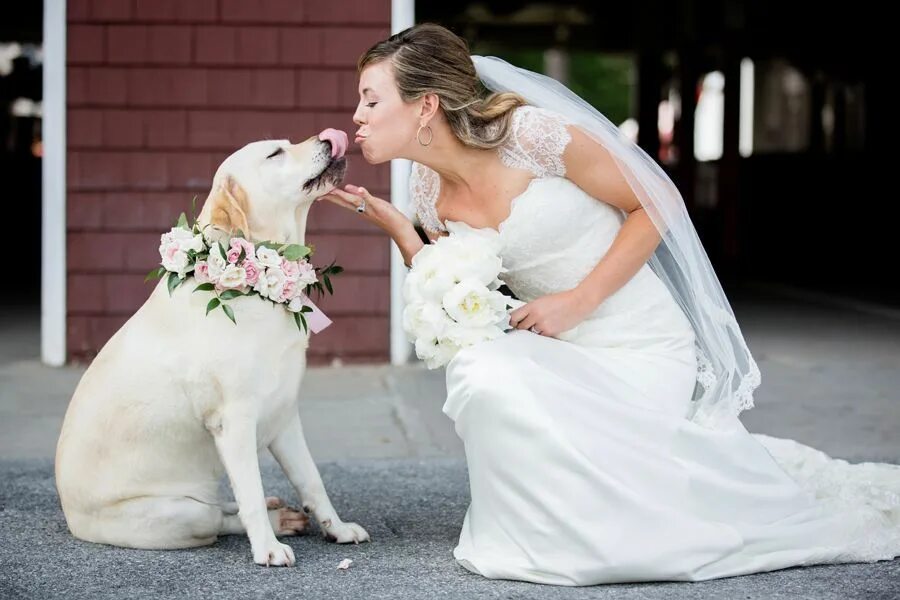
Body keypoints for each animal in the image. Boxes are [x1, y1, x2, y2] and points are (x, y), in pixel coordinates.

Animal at [55, 130, 370, 568]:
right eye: (276, 153)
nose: (329, 137)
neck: (260, 293)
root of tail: (70, 517)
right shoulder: (234, 421)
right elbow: (251, 492)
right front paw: (268, 549)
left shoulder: (284, 415)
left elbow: (312, 480)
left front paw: (336, 529)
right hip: (177, 512)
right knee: (219, 517)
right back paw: (275, 524)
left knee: (225, 504)